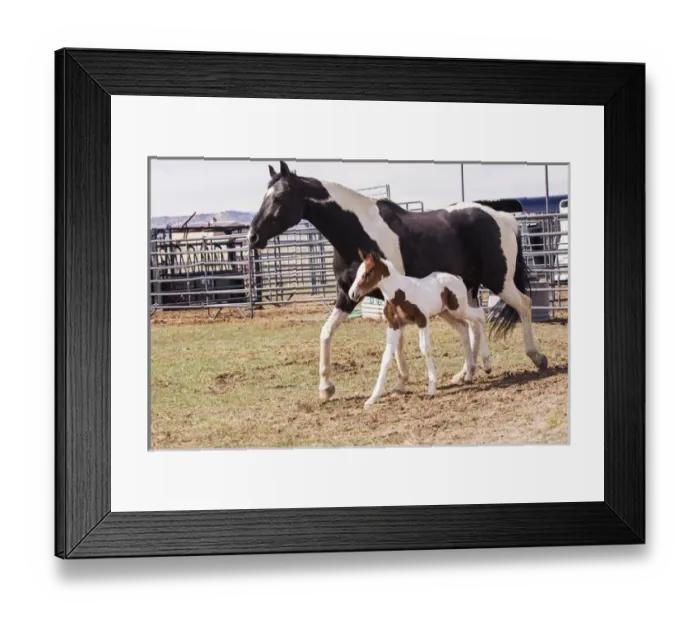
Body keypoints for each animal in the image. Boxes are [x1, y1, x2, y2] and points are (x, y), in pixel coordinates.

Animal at [348, 250, 488, 408]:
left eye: (368, 272)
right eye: (358, 272)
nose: (352, 294)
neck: (399, 294)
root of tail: (457, 277)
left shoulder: (422, 321)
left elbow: (425, 349)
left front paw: (431, 389)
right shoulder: (394, 326)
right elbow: (386, 356)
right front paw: (372, 398)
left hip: (459, 308)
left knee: (480, 316)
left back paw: (487, 364)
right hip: (446, 313)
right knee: (464, 327)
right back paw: (469, 374)